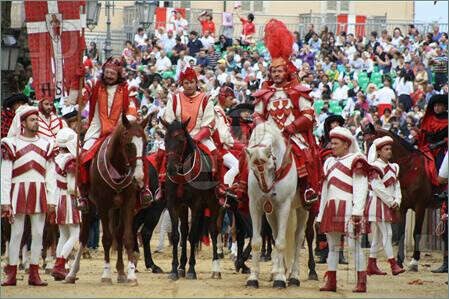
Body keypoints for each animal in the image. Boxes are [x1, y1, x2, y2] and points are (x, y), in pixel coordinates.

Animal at [65, 115, 147, 286]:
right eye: (129, 144)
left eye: (145, 143)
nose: (139, 177)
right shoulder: (102, 205)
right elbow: (107, 239)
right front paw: (106, 275)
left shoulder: (128, 203)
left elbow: (127, 237)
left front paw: (131, 275)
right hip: (90, 208)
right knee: (84, 236)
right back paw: (72, 273)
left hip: (116, 208)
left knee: (119, 234)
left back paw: (121, 272)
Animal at [160, 119, 221, 282]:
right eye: (165, 140)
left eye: (181, 140)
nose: (171, 169)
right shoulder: (174, 204)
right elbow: (177, 236)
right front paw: (174, 269)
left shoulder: (196, 205)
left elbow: (193, 236)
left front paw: (192, 270)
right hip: (183, 207)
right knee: (184, 231)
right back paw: (181, 266)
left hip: (214, 204)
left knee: (214, 231)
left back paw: (216, 269)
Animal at [245, 120, 308, 290]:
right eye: (253, 169)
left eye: (271, 167)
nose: (267, 192)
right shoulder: (255, 206)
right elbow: (256, 242)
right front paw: (253, 278)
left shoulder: (284, 206)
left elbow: (281, 242)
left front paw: (280, 279)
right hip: (271, 214)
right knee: (275, 234)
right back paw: (278, 271)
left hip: (304, 210)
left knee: (298, 239)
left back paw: (293, 276)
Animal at [360, 125, 438, 270]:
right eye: (364, 143)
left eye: (372, 143)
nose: (367, 169)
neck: (410, 169)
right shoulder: (401, 206)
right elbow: (402, 232)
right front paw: (399, 261)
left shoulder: (420, 206)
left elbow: (416, 232)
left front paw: (414, 261)